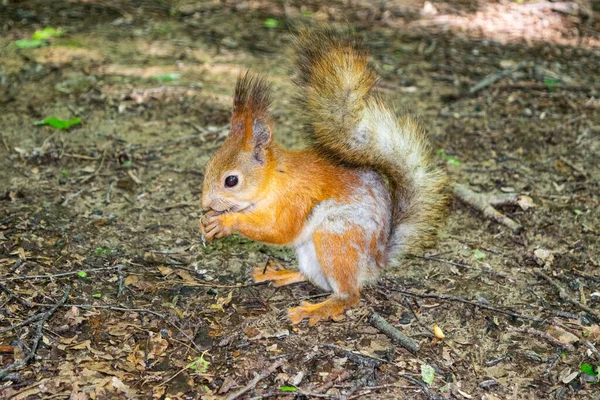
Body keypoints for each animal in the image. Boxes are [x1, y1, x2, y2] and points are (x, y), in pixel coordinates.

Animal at [202, 27, 450, 324]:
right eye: (208, 166)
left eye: (231, 180)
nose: (205, 203)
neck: (274, 179)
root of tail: (376, 261)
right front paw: (209, 220)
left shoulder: (296, 198)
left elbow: (279, 230)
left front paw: (225, 222)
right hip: (311, 252)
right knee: (313, 277)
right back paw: (279, 273)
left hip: (336, 237)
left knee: (348, 294)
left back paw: (316, 309)